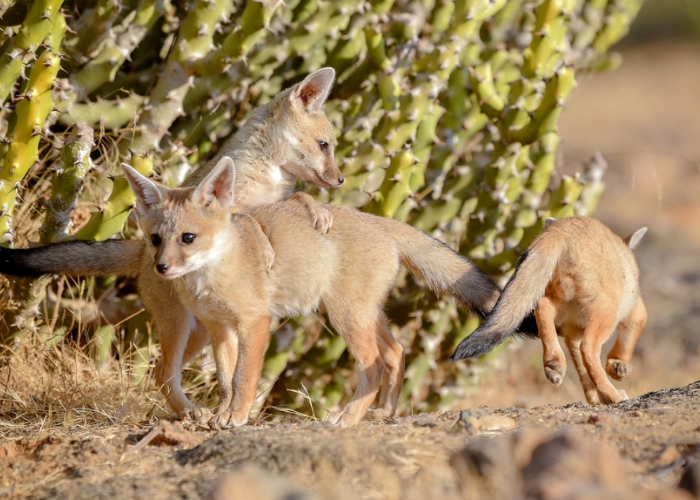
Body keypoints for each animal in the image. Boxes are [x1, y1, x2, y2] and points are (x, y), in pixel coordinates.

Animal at [451, 216, 648, 405]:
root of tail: (563, 227)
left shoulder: (572, 334)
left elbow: (582, 371)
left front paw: (595, 398)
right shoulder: (636, 314)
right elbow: (624, 347)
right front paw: (618, 368)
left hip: (562, 307)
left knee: (542, 306)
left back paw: (554, 363)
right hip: (606, 313)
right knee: (588, 348)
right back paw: (613, 395)